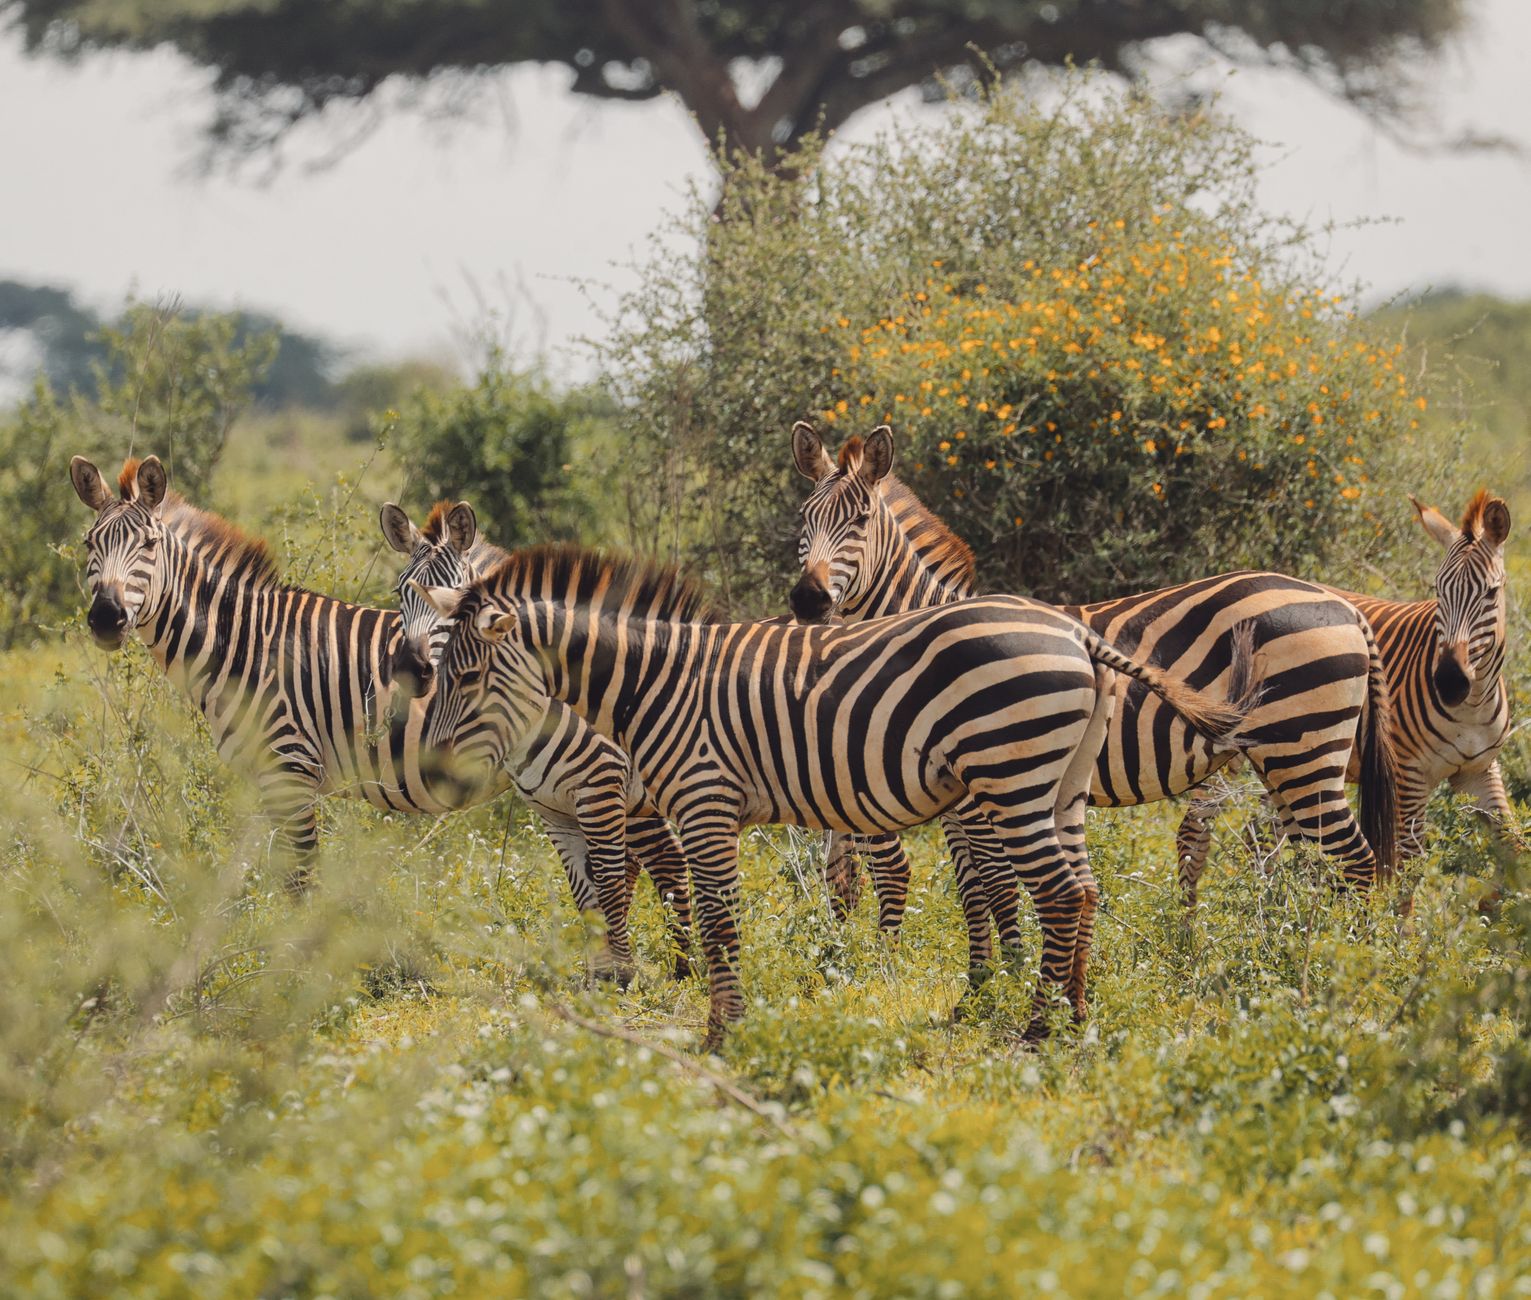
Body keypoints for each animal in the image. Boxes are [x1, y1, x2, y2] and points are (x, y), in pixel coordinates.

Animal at [67, 454, 643, 979]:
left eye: (147, 547)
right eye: (89, 546)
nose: (106, 618)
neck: (245, 644)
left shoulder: (292, 770)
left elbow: (301, 880)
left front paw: (298, 975)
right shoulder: (268, 781)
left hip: (591, 772)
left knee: (615, 873)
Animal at [379, 499, 695, 979]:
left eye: (455, 596)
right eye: (402, 593)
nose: (411, 670)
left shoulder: (601, 787)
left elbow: (606, 881)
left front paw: (619, 975)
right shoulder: (551, 806)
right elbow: (584, 892)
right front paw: (598, 976)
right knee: (666, 858)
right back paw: (683, 966)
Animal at [416, 544, 1252, 1045]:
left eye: (465, 676)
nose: (432, 770)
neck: (659, 684)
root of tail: (1076, 634)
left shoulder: (704, 802)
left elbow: (717, 921)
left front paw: (721, 1033)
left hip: (1011, 775)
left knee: (1054, 893)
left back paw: (1037, 1028)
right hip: (1061, 784)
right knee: (1083, 889)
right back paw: (1076, 1016)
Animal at [787, 422, 1398, 935]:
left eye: (861, 522)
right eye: (803, 521)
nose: (808, 600)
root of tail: (1344, 605)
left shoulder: (983, 791)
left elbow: (993, 887)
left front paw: (1000, 983)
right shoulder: (956, 800)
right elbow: (967, 889)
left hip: (1305, 749)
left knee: (1356, 862)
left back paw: (1350, 959)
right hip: (1286, 759)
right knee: (1312, 858)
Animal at [1176, 489, 1518, 885]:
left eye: (1491, 593)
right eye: (1438, 591)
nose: (1449, 683)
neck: (1472, 705)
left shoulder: (1481, 771)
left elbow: (1514, 847)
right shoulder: (1408, 779)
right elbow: (1407, 872)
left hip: (1287, 758)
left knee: (1261, 837)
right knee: (1193, 830)